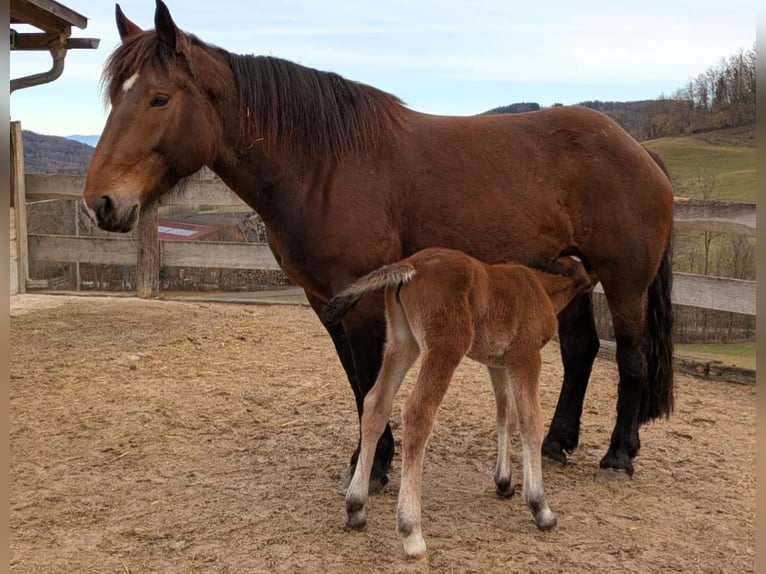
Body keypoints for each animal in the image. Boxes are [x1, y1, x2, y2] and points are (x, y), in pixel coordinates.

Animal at [83, 1, 675, 490]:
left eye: (159, 98)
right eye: (115, 96)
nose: (101, 202)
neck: (324, 165)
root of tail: (639, 150)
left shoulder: (365, 298)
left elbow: (371, 381)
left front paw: (373, 468)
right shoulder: (326, 301)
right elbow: (355, 381)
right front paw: (369, 459)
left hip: (624, 282)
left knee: (632, 356)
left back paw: (618, 456)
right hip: (570, 276)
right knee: (581, 352)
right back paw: (555, 443)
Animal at [321, 248, 596, 559]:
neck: (539, 286)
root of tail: (410, 265)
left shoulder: (497, 363)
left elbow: (505, 415)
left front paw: (504, 482)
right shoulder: (524, 356)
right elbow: (530, 421)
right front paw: (541, 508)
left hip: (402, 343)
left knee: (376, 404)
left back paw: (356, 507)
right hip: (446, 347)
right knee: (418, 411)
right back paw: (411, 531)